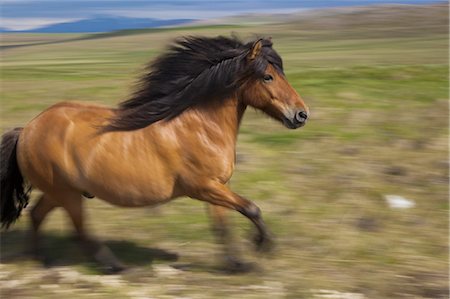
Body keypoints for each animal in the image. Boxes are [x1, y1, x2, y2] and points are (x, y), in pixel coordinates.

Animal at [0, 35, 308, 274]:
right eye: (267, 76)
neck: (201, 126)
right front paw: (262, 245)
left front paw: (237, 264)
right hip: (67, 194)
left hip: (60, 192)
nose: (301, 115)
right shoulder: (202, 187)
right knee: (80, 230)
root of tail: (27, 129)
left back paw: (41, 259)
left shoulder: (218, 187)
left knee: (37, 216)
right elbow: (251, 208)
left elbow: (222, 225)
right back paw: (114, 265)